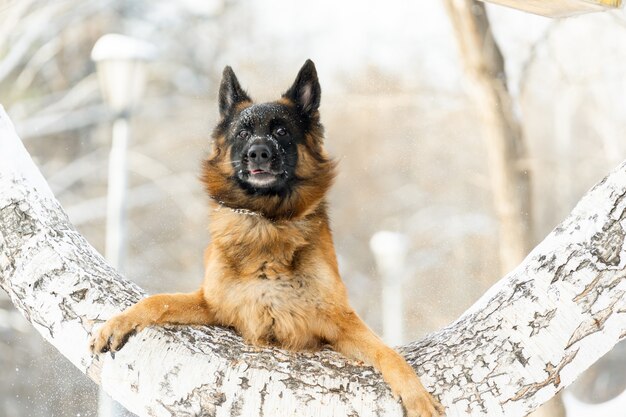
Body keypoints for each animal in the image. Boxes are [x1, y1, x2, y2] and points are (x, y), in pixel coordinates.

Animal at [90, 59, 442, 416]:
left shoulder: (339, 322)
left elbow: (388, 352)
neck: (266, 223)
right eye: (243, 133)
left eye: (281, 131)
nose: (258, 153)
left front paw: (416, 395)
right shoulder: (212, 305)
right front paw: (117, 323)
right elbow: (158, 300)